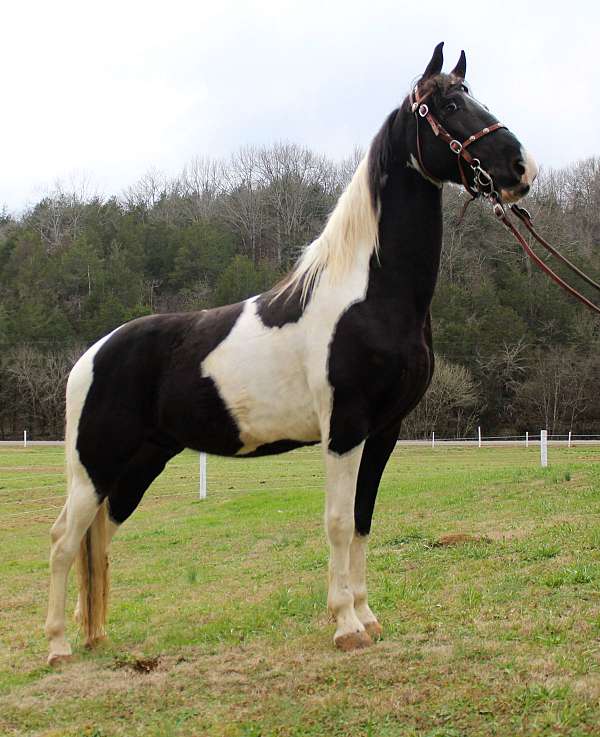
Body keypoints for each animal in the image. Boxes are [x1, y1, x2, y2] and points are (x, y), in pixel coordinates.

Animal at [44, 43, 536, 664]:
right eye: (449, 106)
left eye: (473, 96)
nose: (520, 168)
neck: (368, 294)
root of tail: (91, 356)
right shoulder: (344, 428)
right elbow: (337, 521)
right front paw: (345, 625)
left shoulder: (384, 431)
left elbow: (363, 519)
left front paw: (368, 618)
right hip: (93, 464)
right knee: (64, 539)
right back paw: (58, 647)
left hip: (139, 463)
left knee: (99, 536)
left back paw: (97, 637)